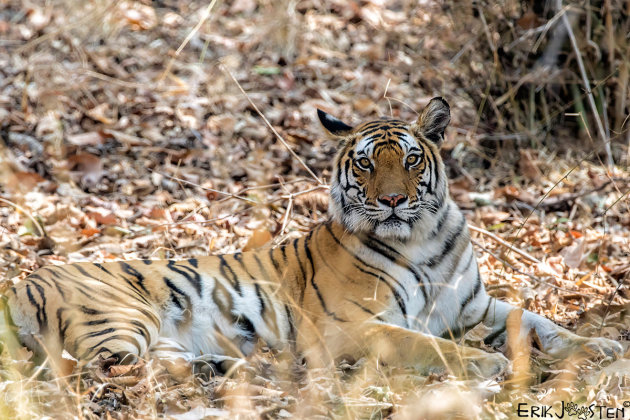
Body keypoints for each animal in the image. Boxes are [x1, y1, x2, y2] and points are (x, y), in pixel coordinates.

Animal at [0, 97, 624, 378]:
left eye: (411, 160)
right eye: (368, 164)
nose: (392, 200)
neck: (423, 240)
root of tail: (20, 283)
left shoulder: (474, 306)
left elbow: (538, 320)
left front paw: (600, 346)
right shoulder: (352, 326)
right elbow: (429, 345)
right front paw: (485, 365)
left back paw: (234, 366)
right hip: (123, 316)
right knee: (107, 369)